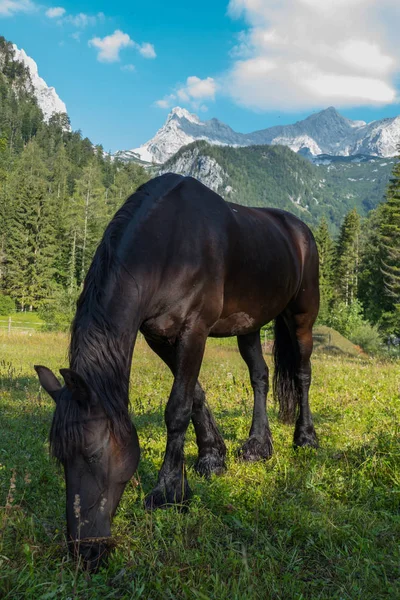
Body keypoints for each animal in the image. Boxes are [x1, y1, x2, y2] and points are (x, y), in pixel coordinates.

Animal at [36, 171, 320, 568]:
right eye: (59, 457)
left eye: (93, 454)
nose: (85, 551)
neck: (167, 248)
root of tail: (299, 229)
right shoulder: (159, 335)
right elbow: (195, 393)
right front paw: (212, 457)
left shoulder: (193, 330)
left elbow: (178, 408)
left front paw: (169, 491)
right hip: (248, 325)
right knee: (260, 376)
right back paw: (258, 446)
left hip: (303, 316)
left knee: (303, 374)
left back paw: (305, 438)